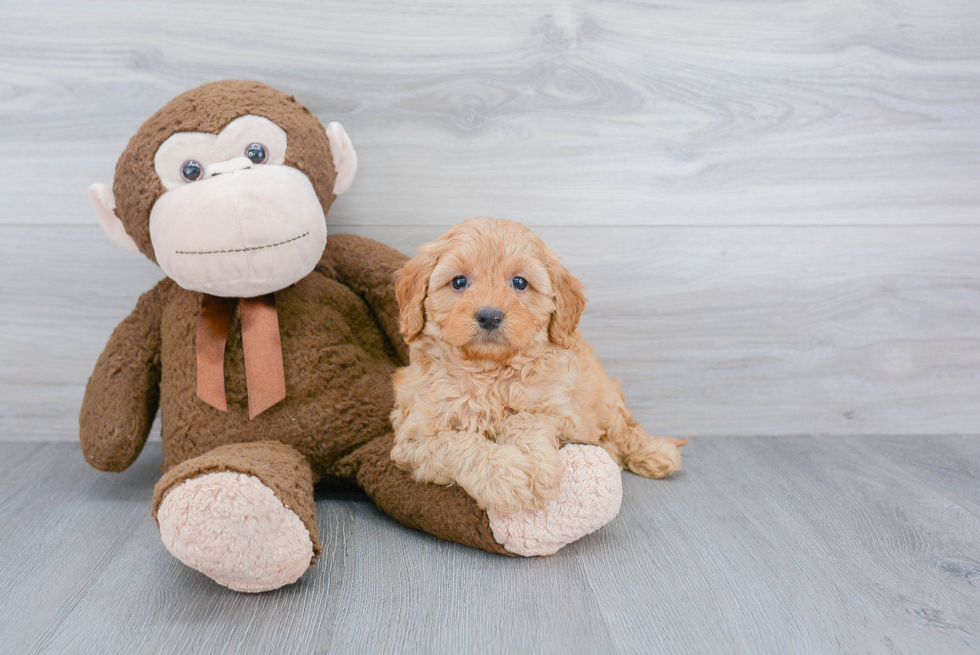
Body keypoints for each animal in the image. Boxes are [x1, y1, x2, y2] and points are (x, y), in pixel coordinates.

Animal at [386, 217, 684, 516]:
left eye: (520, 282)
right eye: (459, 282)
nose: (489, 316)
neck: (491, 371)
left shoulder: (564, 413)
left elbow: (527, 419)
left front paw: (537, 468)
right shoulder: (414, 436)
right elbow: (458, 444)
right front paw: (505, 478)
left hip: (605, 399)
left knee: (625, 428)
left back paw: (656, 453)